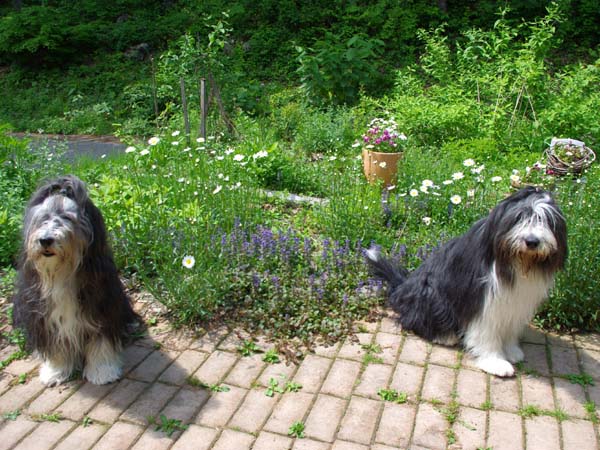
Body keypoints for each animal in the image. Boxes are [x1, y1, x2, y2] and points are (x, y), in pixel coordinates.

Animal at [12, 175, 138, 386]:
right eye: (43, 219)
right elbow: (55, 347)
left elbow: (101, 342)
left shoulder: (101, 308)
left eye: (67, 218)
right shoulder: (43, 316)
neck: (61, 273)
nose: (45, 240)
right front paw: (55, 371)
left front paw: (102, 371)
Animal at [366, 186, 567, 376]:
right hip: (431, 294)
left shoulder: (516, 300)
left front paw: (511, 350)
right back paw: (444, 336)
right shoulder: (481, 298)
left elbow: (510, 326)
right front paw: (495, 361)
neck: (515, 261)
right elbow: (487, 331)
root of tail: (402, 287)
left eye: (546, 220)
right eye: (519, 217)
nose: (532, 241)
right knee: (413, 319)